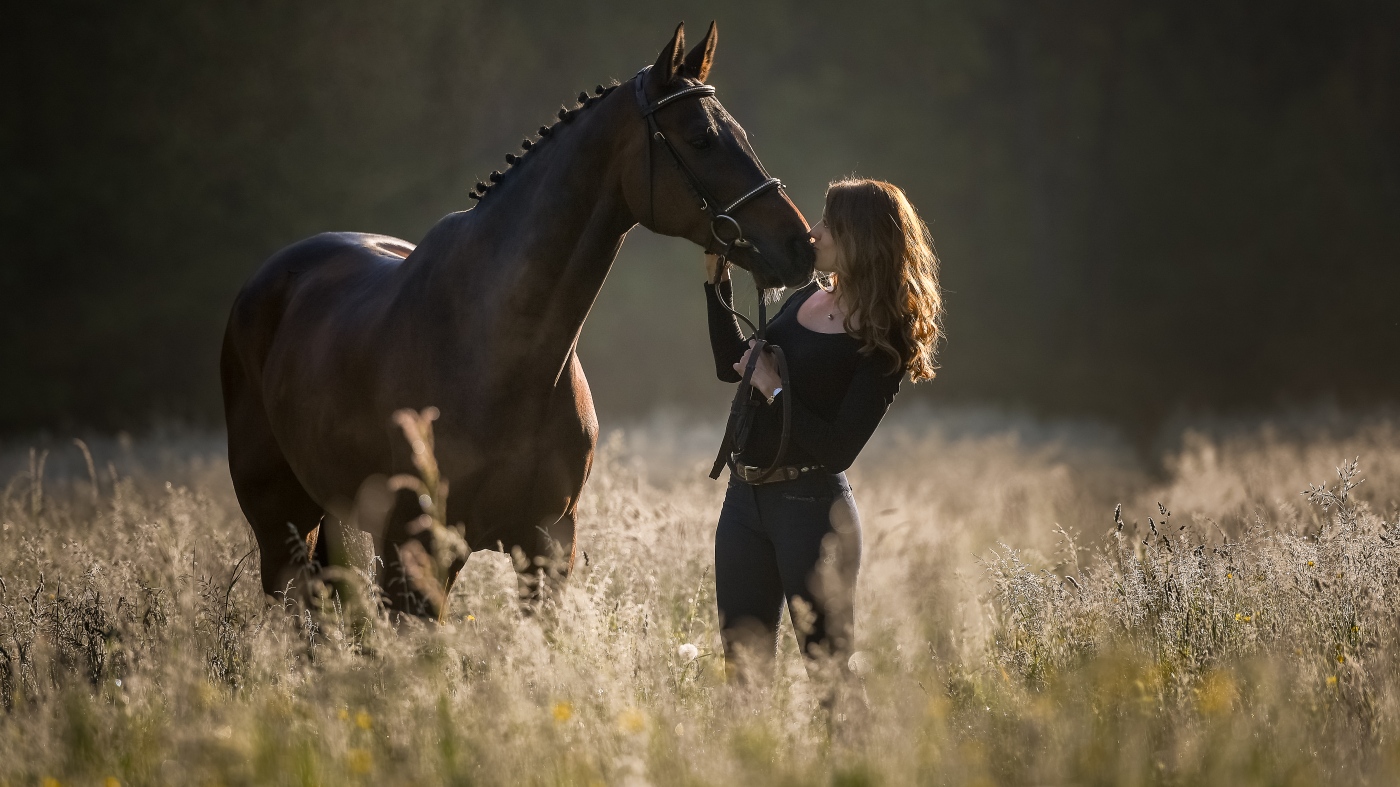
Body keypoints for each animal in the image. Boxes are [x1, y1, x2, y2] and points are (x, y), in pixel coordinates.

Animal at [215, 21, 812, 616]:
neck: (496, 350)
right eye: (700, 138)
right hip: (283, 525)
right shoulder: (415, 553)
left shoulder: (547, 547)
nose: (800, 245)